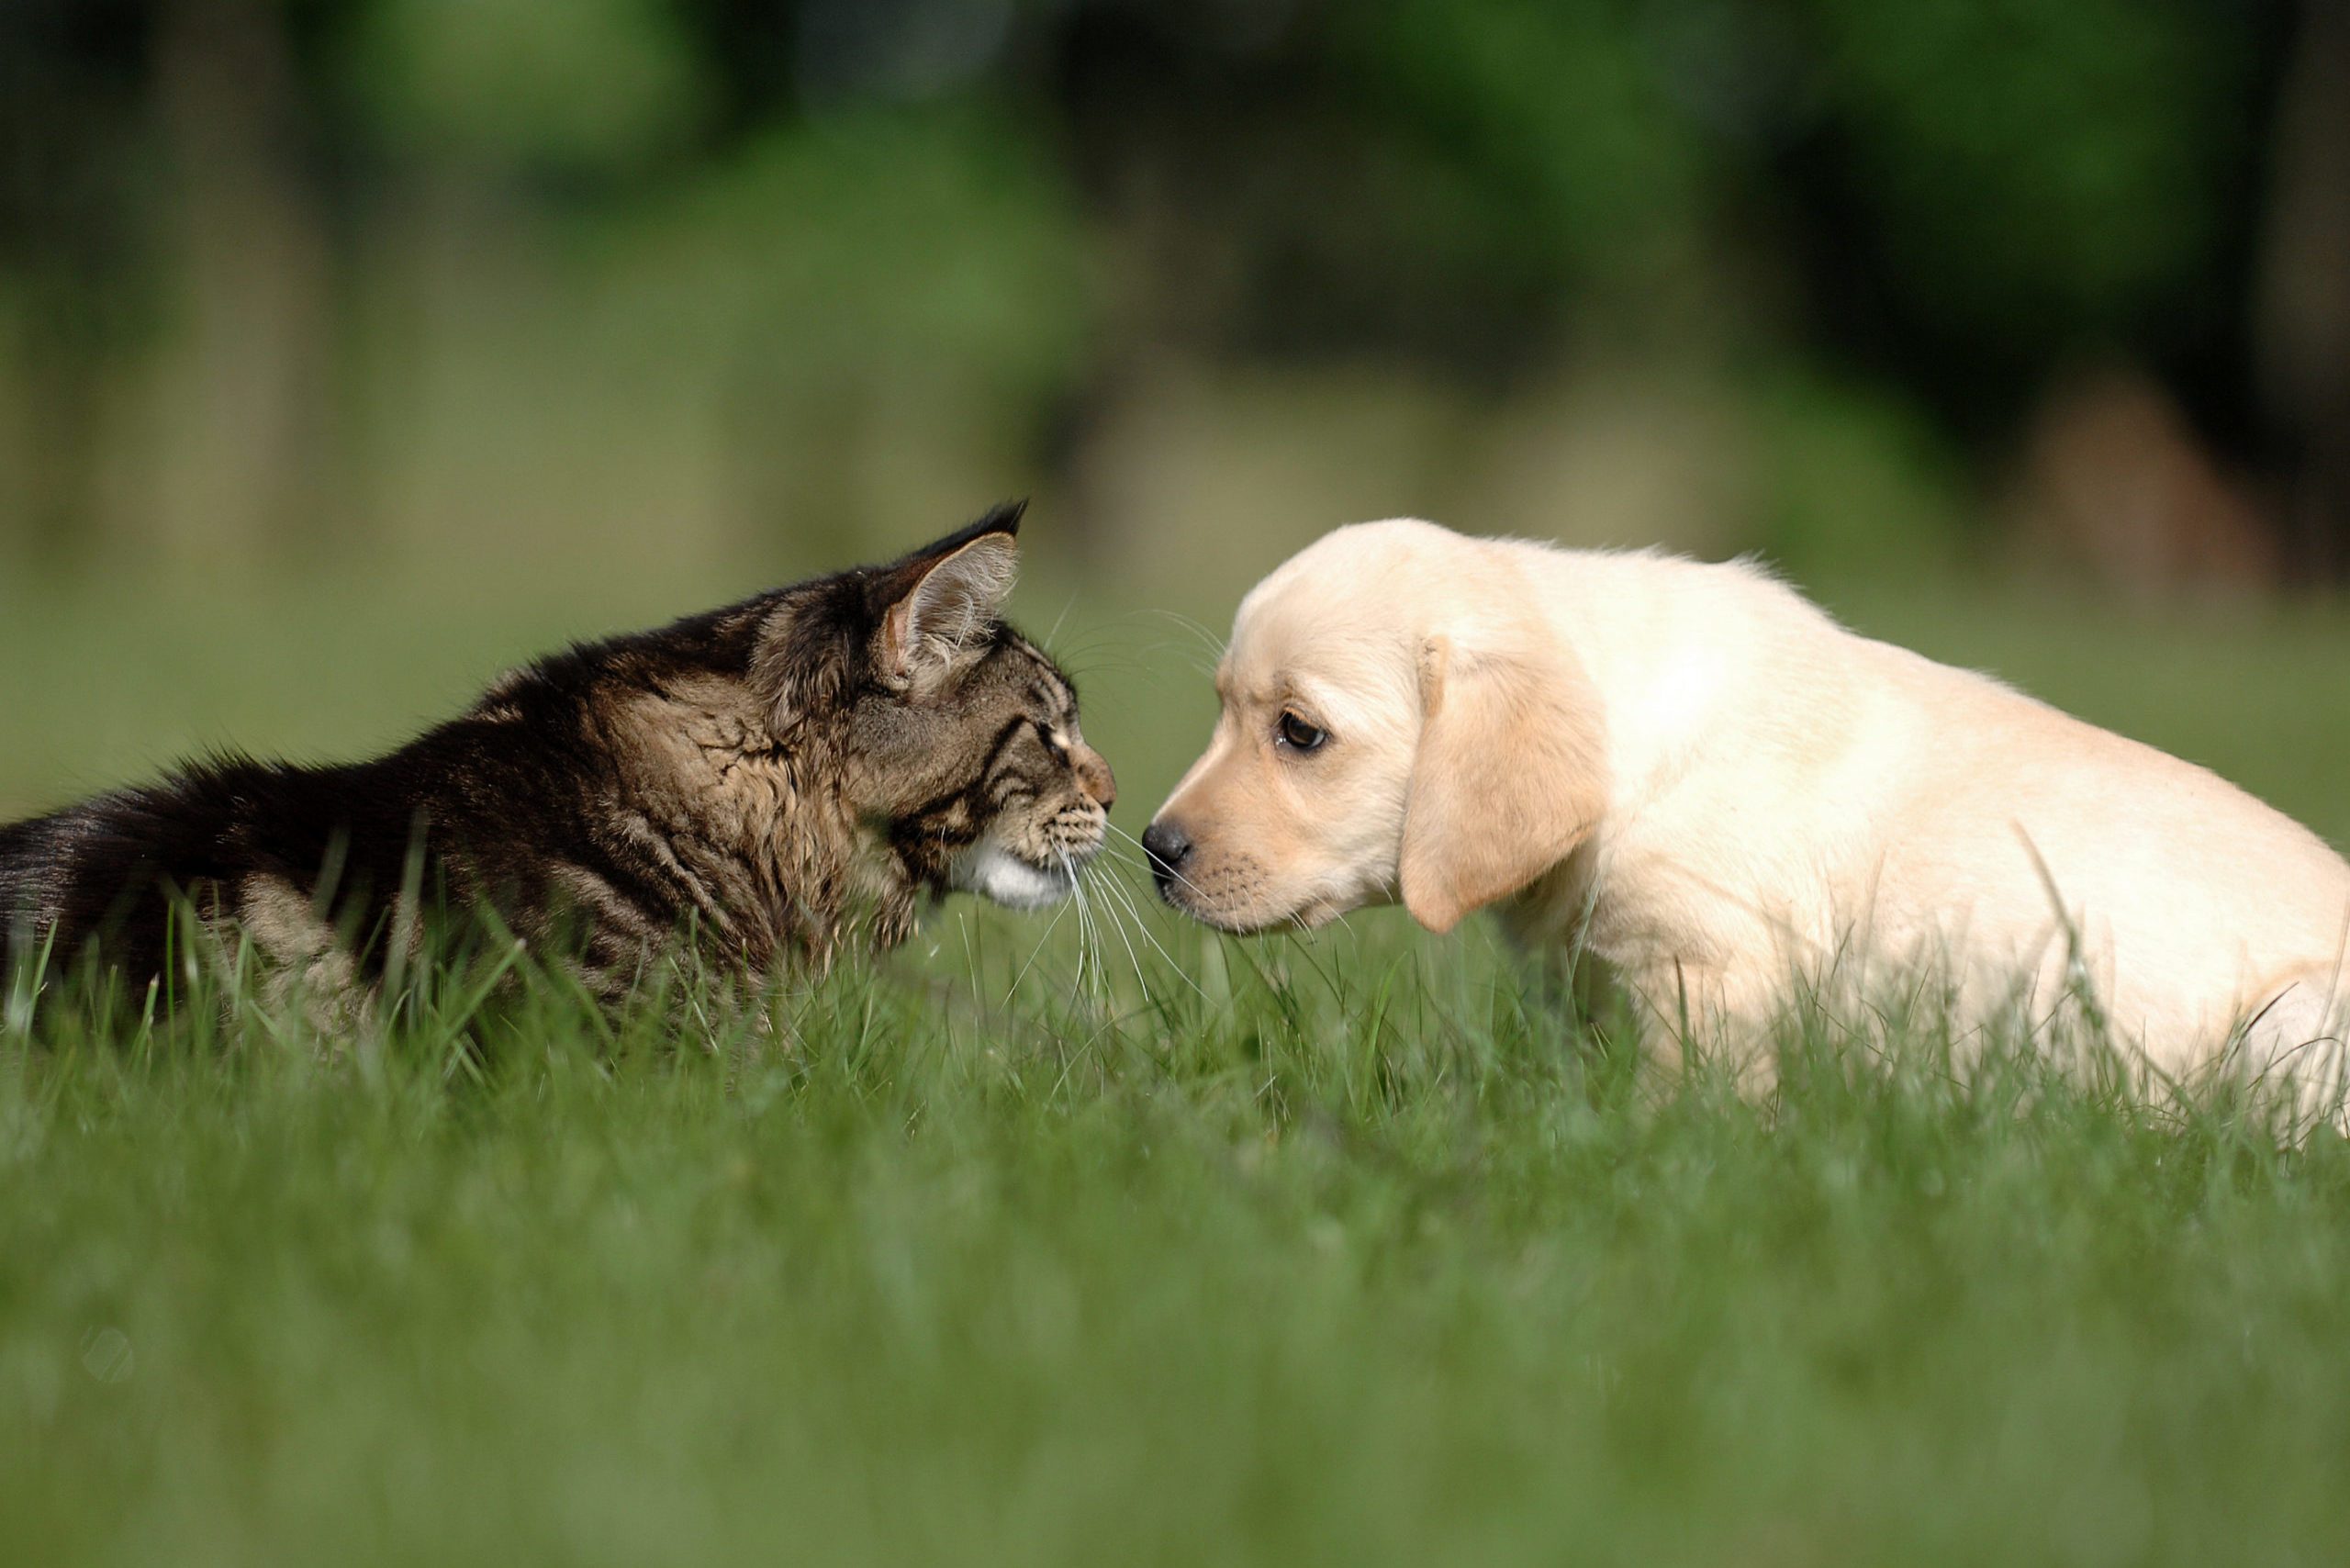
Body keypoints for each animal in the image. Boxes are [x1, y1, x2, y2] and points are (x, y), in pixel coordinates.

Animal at [1142, 524, 2350, 1104]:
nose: (1153, 848)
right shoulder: (1588, 984)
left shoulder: (1708, 975)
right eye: (1220, 710)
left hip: (2290, 1030)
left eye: (1298, 732)